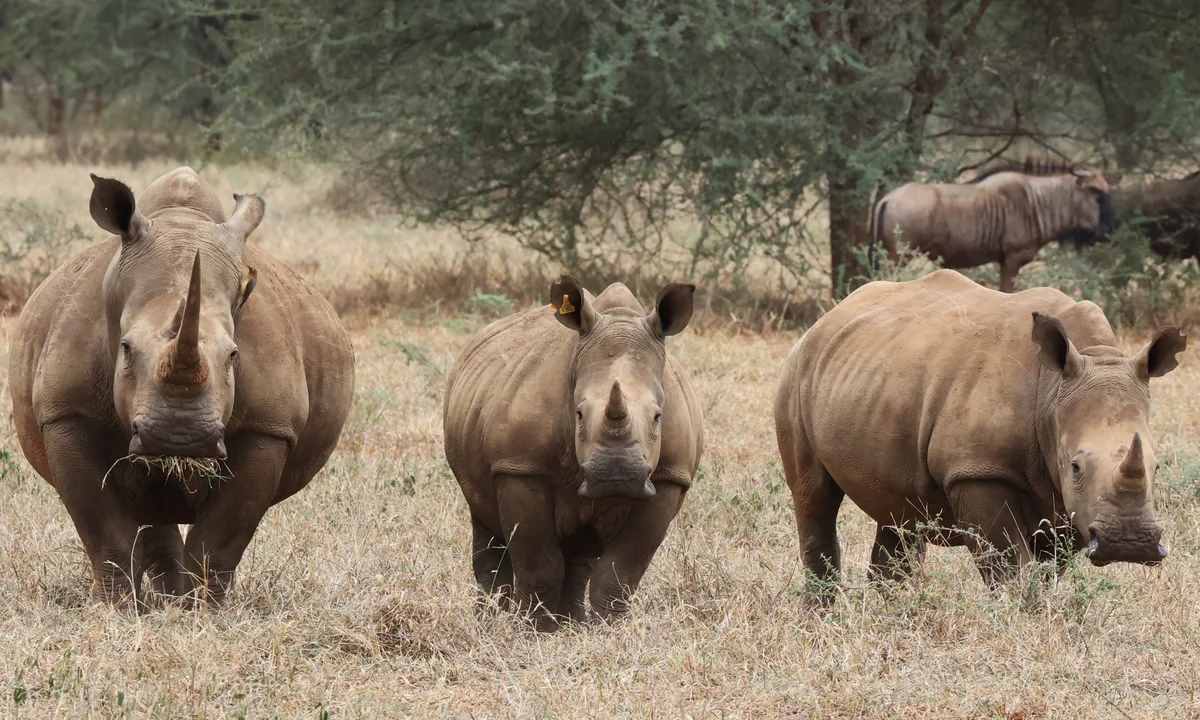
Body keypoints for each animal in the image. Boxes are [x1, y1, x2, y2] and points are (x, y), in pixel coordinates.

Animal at [9, 167, 355, 606]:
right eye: (125, 349)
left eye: (233, 356)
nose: (179, 438)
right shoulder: (66, 413)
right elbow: (104, 534)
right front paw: (116, 610)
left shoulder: (269, 427)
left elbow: (220, 540)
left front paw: (201, 611)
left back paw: (173, 601)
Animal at [443, 277, 703, 630]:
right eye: (578, 414)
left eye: (657, 417)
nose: (617, 475)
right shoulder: (521, 467)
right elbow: (538, 563)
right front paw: (534, 631)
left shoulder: (669, 477)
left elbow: (620, 572)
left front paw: (609, 629)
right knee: (486, 524)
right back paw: (494, 620)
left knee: (581, 551)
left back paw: (571, 622)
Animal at [775, 269, 1183, 592]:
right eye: (1076, 467)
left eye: (1158, 466)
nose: (1129, 545)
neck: (1052, 390)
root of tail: (829, 316)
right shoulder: (979, 471)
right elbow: (1008, 566)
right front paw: (1020, 617)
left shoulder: (1064, 501)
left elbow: (1047, 571)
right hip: (798, 372)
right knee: (814, 497)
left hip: (875, 377)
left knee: (898, 512)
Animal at [870, 162, 1113, 292]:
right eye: (1096, 193)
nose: (1104, 234)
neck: (1037, 201)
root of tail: (888, 198)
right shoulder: (1013, 259)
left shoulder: (1004, 262)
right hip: (899, 257)